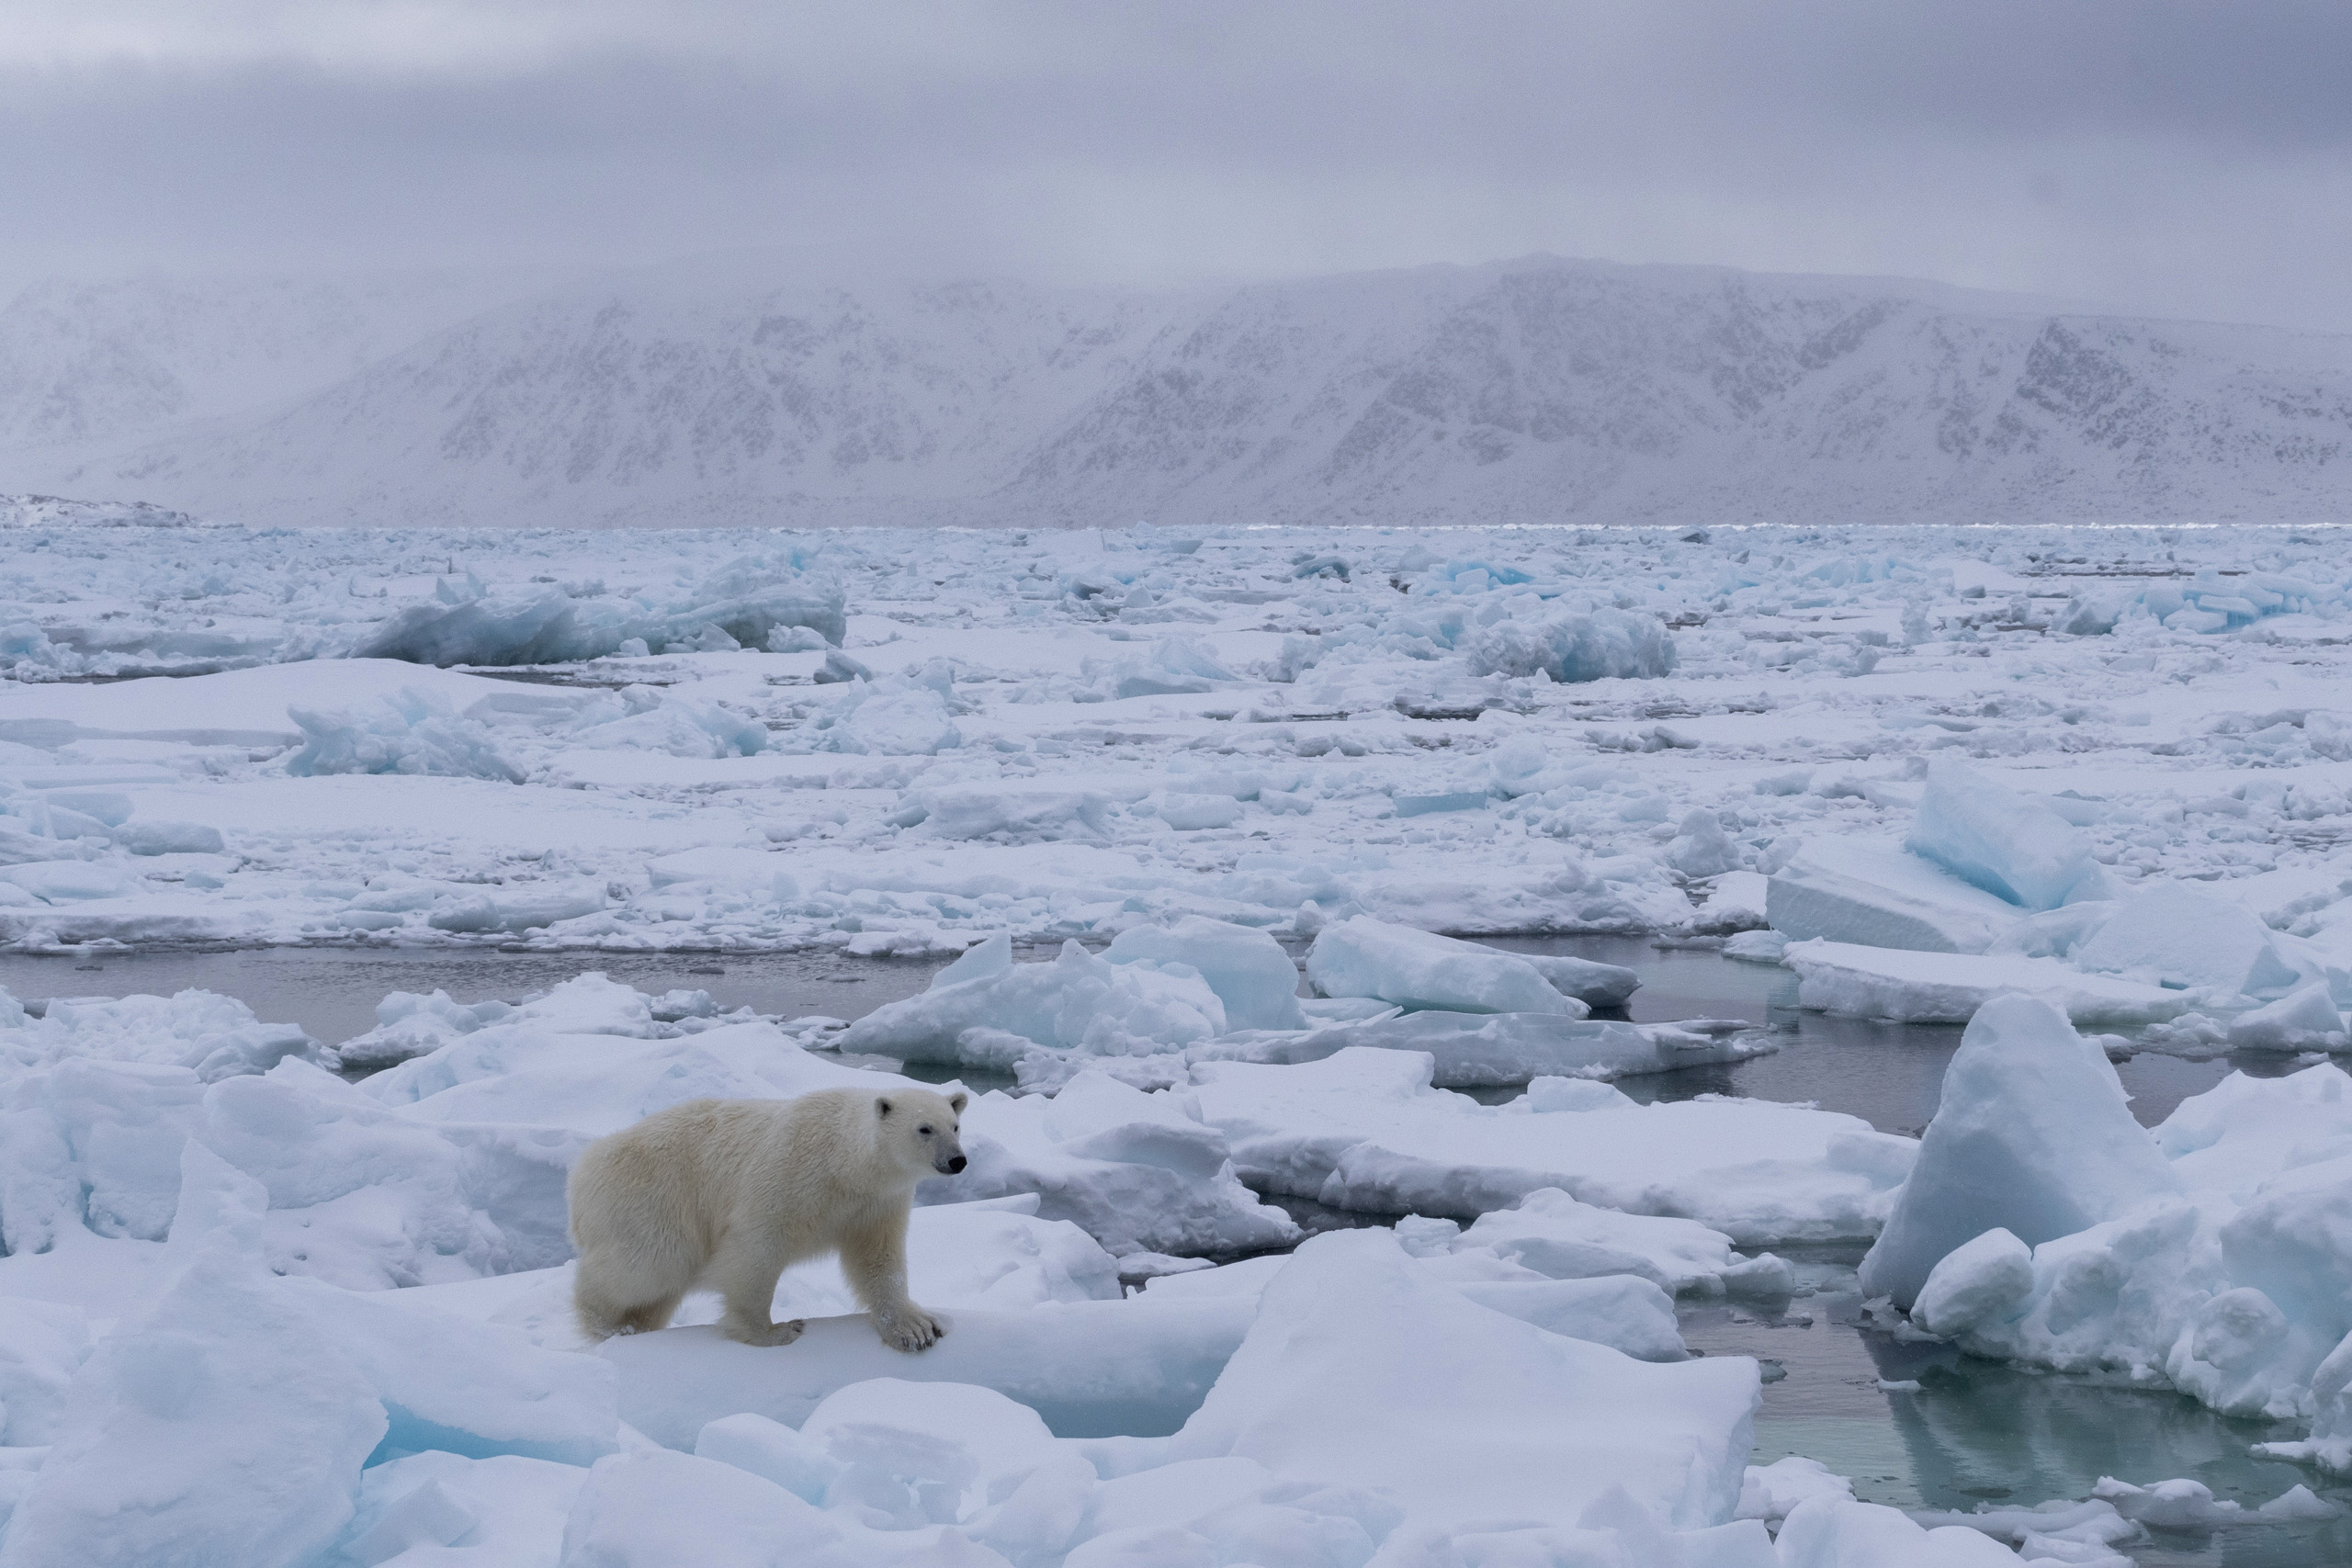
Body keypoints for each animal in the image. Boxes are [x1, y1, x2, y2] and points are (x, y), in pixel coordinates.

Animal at [566, 1086, 964, 1354]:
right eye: (924, 1128)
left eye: (955, 1125)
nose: (957, 1160)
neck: (844, 1165)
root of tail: (582, 1172)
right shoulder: (791, 1177)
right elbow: (756, 1248)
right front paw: (777, 1331)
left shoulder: (878, 1203)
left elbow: (878, 1259)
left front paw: (915, 1328)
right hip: (652, 1198)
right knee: (650, 1263)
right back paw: (607, 1324)